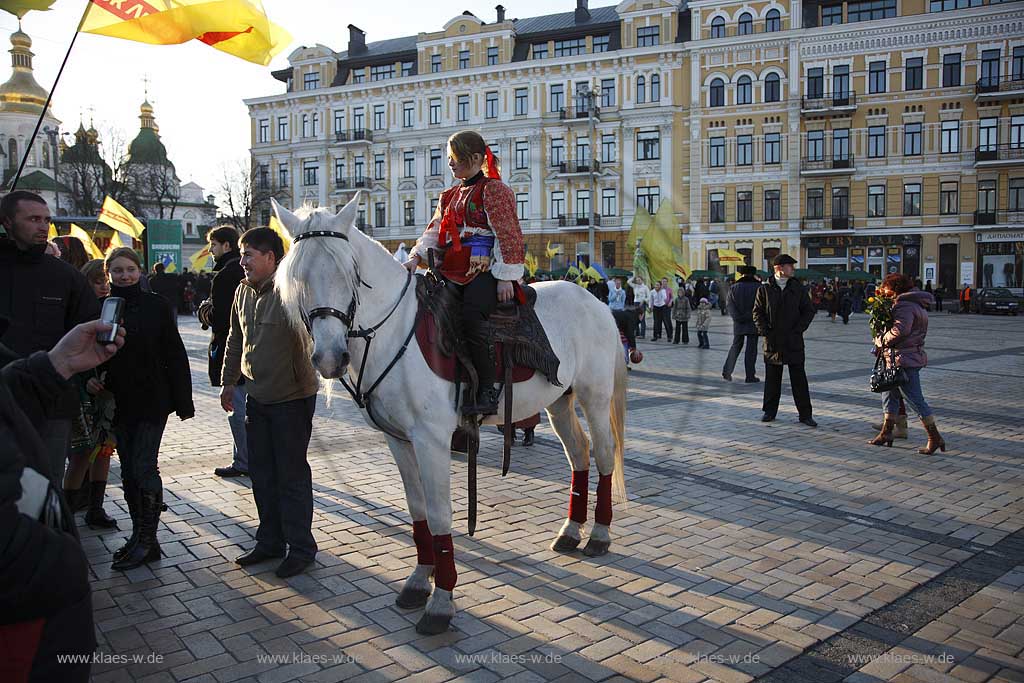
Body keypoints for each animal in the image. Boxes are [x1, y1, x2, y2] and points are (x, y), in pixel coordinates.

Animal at [272, 193, 622, 634]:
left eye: (349, 273)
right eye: (298, 278)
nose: (330, 358)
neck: (395, 331)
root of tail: (595, 302)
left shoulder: (431, 439)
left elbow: (440, 515)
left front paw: (441, 601)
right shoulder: (398, 440)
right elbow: (418, 511)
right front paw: (419, 581)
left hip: (594, 397)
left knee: (604, 455)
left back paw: (600, 534)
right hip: (560, 402)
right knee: (579, 455)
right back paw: (572, 531)